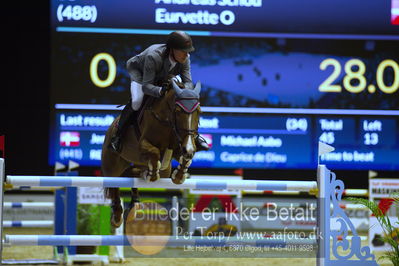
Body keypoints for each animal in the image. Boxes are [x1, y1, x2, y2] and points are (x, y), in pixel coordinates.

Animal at [100, 80, 200, 228]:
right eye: (178, 111)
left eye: (199, 112)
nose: (188, 148)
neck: (167, 121)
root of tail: (112, 126)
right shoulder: (143, 145)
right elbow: (154, 152)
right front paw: (152, 175)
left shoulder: (179, 148)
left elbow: (185, 158)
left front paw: (179, 176)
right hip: (113, 165)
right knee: (114, 183)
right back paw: (117, 216)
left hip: (162, 170)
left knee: (131, 172)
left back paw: (137, 196)